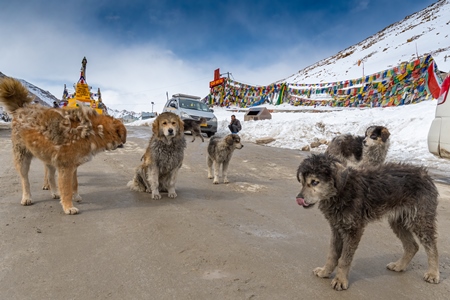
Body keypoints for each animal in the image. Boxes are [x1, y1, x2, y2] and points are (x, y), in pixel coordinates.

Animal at [0, 77, 126, 213]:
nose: (123, 144)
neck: (92, 130)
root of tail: (21, 108)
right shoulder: (66, 166)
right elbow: (66, 189)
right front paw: (68, 206)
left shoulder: (73, 165)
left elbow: (74, 183)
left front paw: (75, 196)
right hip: (22, 156)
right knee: (25, 179)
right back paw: (27, 197)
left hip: (49, 157)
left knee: (50, 176)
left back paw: (55, 192)